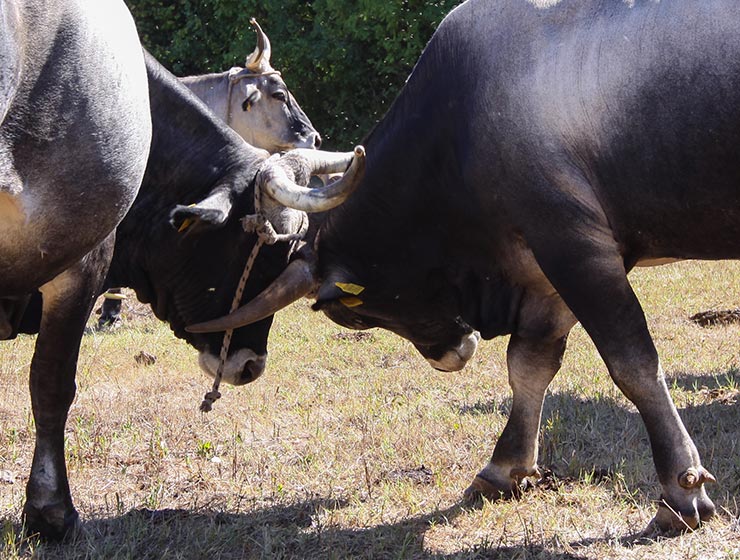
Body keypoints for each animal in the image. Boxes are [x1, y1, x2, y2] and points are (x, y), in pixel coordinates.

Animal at [187, 0, 740, 532]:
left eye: (352, 314)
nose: (454, 354)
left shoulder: (575, 247)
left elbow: (634, 364)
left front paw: (681, 489)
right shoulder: (549, 267)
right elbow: (529, 365)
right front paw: (504, 467)